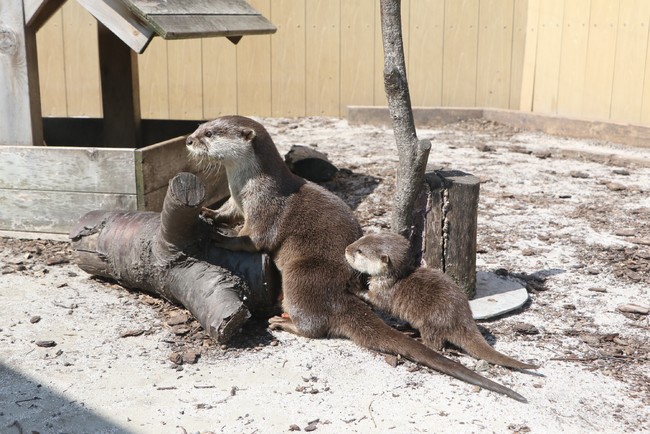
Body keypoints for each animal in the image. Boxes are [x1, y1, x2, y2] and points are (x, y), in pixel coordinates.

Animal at [344, 232, 536, 372]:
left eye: (360, 251)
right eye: (361, 239)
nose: (346, 248)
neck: (393, 280)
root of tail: (463, 319)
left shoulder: (386, 294)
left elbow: (375, 300)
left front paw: (354, 287)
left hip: (432, 322)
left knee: (435, 344)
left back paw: (418, 339)